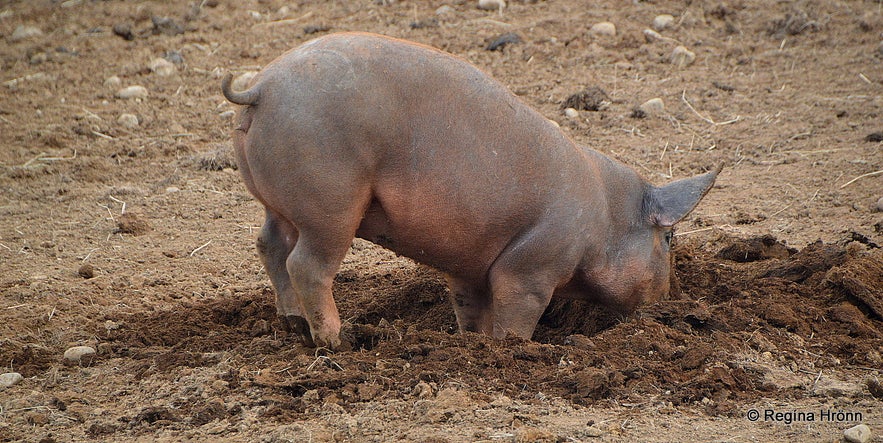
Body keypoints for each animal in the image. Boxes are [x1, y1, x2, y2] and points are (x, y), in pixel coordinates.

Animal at [221, 32, 720, 350]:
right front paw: (509, 350)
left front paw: (472, 345)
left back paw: (291, 326)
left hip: (278, 204)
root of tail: (261, 87)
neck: (604, 221)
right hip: (330, 204)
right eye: (669, 237)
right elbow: (517, 309)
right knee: (305, 264)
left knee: (268, 245)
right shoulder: (534, 264)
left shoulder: (468, 264)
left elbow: (469, 306)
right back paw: (334, 343)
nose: (671, 299)